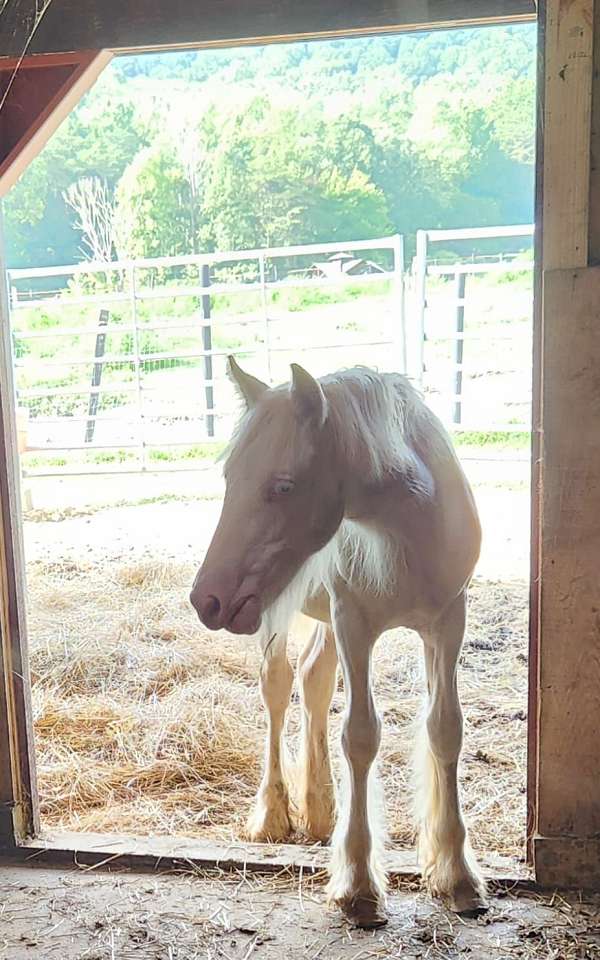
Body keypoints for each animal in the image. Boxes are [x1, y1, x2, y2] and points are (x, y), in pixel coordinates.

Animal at [190, 358, 486, 928]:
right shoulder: (355, 625)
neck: (408, 529)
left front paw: (456, 875)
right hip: (278, 611)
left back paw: (321, 809)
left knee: (314, 679)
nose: (206, 600)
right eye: (230, 478)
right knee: (279, 687)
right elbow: (361, 736)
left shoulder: (447, 622)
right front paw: (359, 886)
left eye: (283, 486)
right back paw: (275, 814)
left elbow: (445, 729)